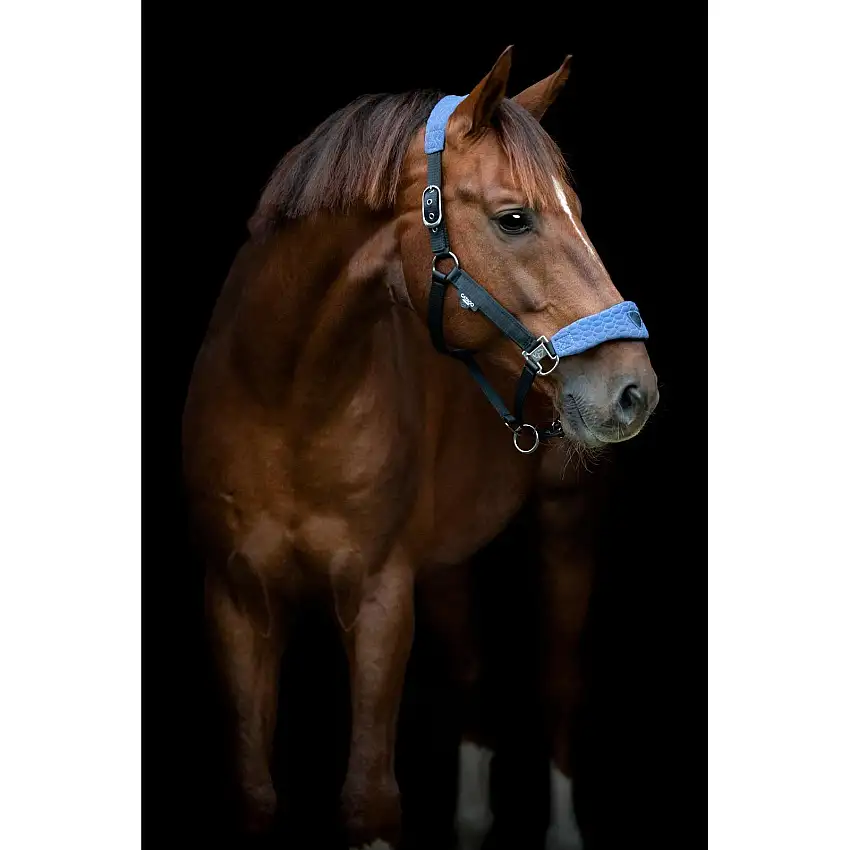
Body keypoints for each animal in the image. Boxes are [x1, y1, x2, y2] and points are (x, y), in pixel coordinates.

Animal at [181, 45, 658, 849]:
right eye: (514, 218)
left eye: (580, 212)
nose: (635, 390)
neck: (285, 402)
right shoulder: (238, 603)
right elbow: (253, 792)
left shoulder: (378, 597)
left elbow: (369, 799)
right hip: (445, 559)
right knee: (468, 671)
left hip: (566, 520)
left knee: (559, 681)